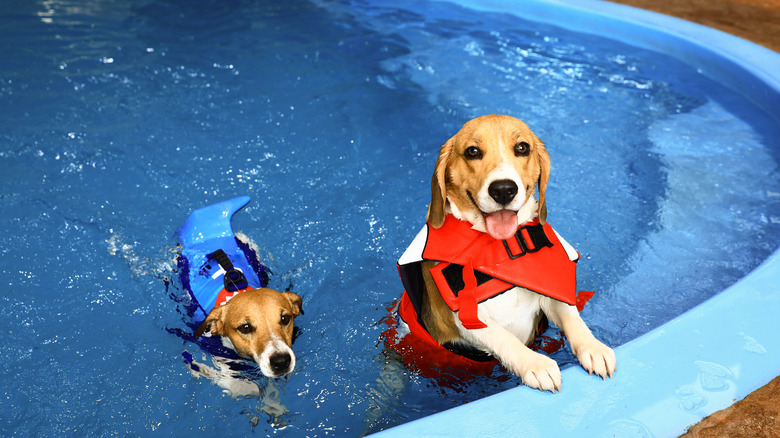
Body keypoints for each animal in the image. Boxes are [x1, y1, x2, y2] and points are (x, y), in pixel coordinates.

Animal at [400, 114, 620, 392]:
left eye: (522, 148)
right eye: (472, 151)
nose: (503, 189)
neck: (499, 247)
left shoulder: (549, 294)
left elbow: (571, 315)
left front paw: (593, 347)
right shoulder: (462, 318)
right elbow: (503, 337)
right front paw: (534, 364)